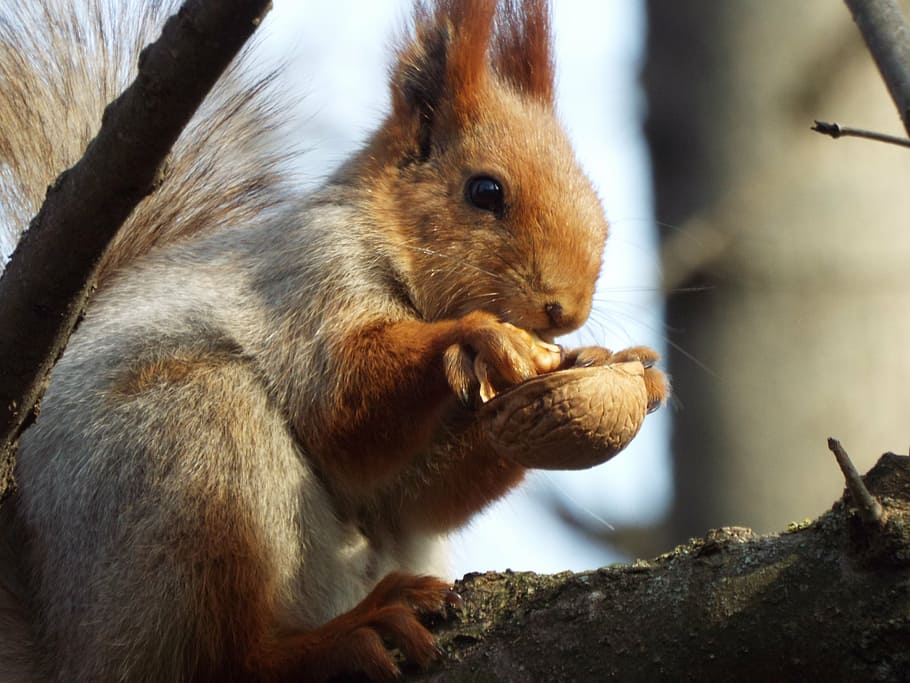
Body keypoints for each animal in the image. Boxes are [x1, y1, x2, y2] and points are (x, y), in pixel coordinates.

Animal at [0, 0, 667, 681]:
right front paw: (479, 334)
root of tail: (64, 646)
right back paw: (344, 636)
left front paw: (621, 368)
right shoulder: (310, 277)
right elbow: (341, 405)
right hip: (189, 460)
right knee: (225, 656)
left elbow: (410, 499)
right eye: (485, 191)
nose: (565, 310)